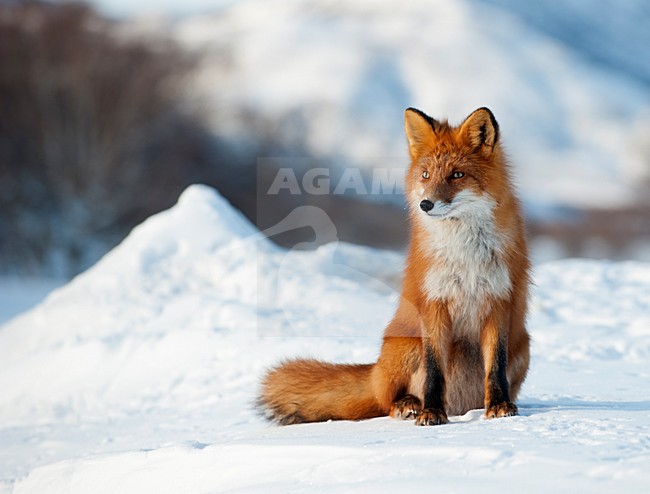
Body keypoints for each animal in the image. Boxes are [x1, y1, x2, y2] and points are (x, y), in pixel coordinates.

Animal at [258, 107, 530, 425]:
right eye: (426, 175)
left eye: (457, 175)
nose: (426, 204)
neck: (465, 254)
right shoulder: (433, 303)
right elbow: (434, 372)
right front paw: (431, 412)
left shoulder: (499, 301)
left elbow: (495, 368)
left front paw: (500, 406)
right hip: (407, 346)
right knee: (386, 401)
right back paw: (409, 404)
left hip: (523, 346)